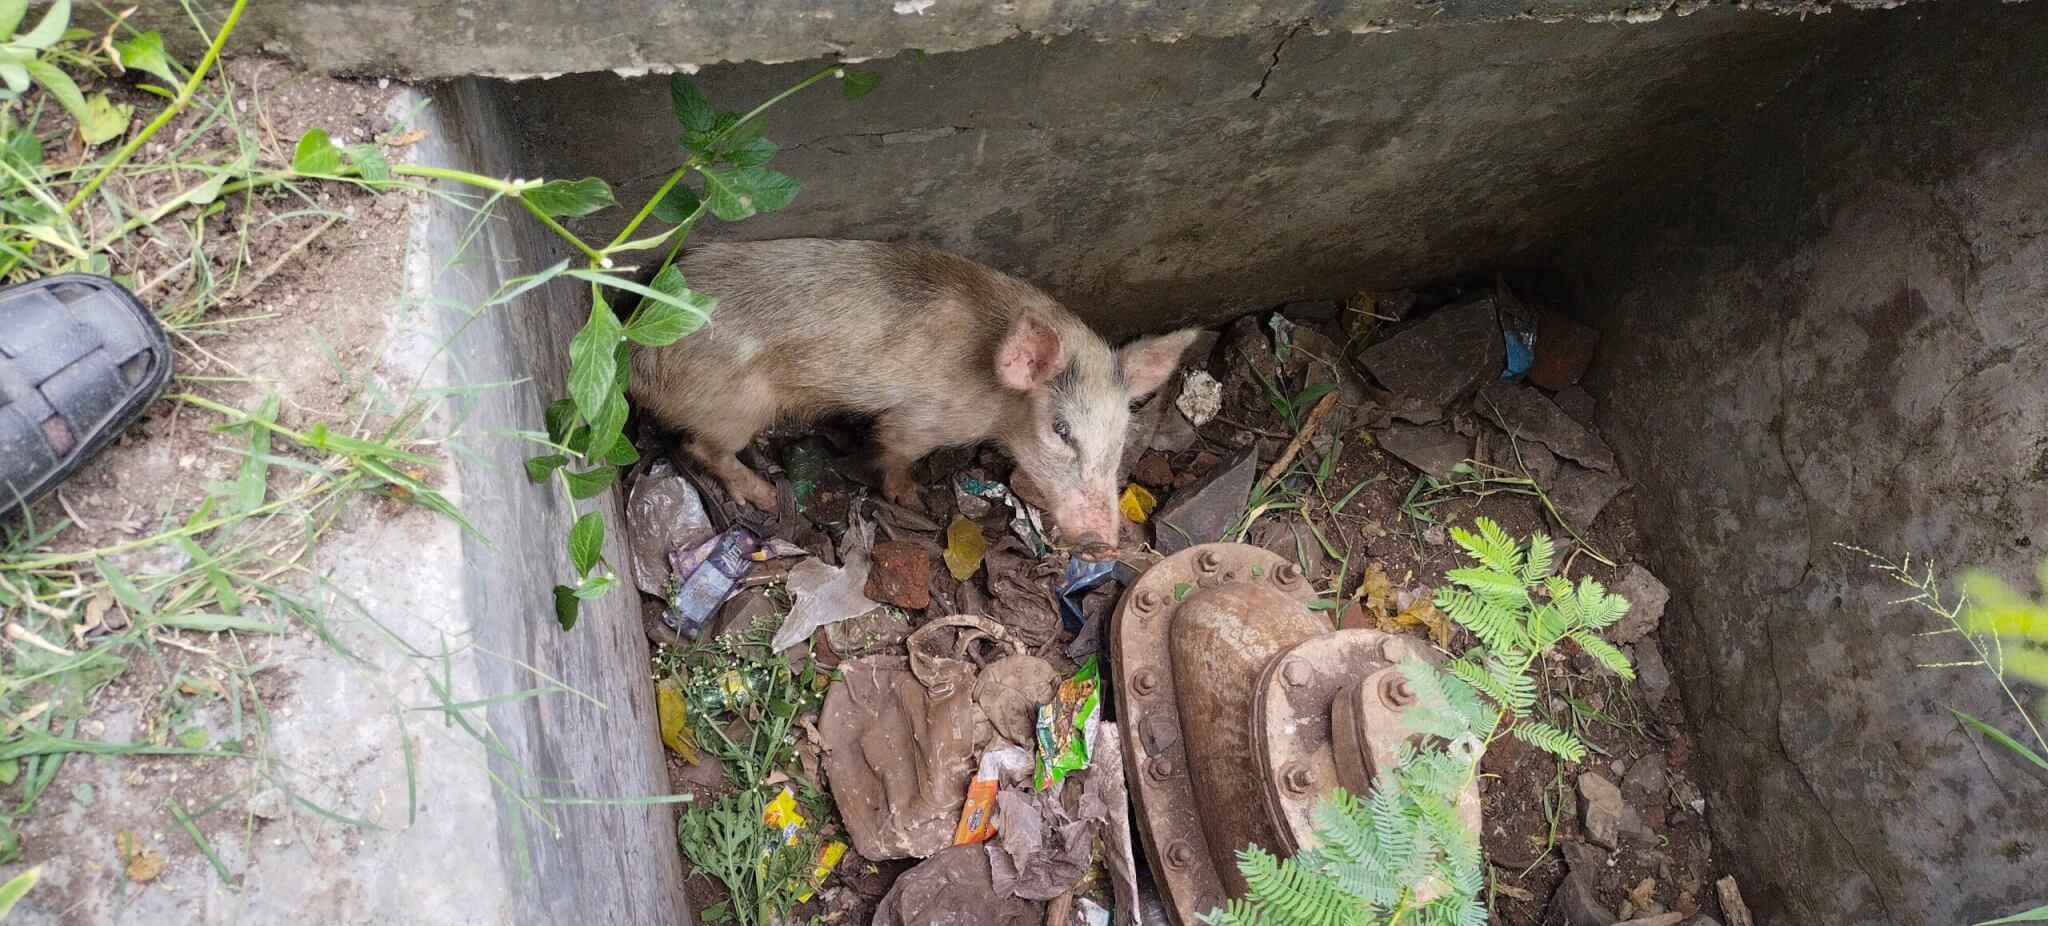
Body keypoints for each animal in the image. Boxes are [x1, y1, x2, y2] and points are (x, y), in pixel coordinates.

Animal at [628, 239, 1198, 561]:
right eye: (1061, 430)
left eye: (1122, 437)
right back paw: (766, 496)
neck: (993, 398)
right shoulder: (922, 418)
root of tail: (633, 361)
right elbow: (894, 449)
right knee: (702, 448)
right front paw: (911, 497)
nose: (1104, 542)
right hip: (735, 406)